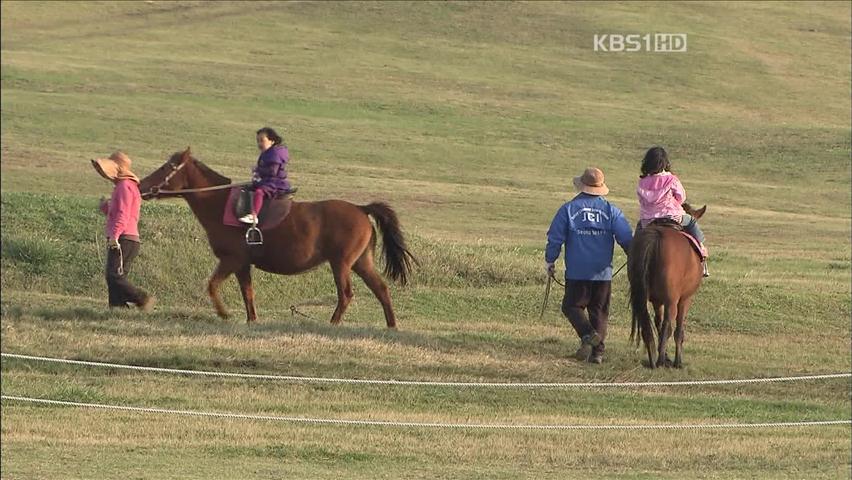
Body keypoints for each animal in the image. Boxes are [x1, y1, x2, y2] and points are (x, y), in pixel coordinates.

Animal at [139, 146, 416, 328]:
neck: (220, 203)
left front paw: (224, 314)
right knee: (381, 288)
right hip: (361, 261)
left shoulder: (231, 260)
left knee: (346, 294)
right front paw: (251, 320)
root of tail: (361, 208)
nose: (141, 186)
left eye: (166, 167)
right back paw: (391, 326)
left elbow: (212, 285)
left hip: (342, 263)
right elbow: (248, 293)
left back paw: (333, 323)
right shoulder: (242, 264)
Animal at [624, 202, 704, 368]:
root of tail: (655, 236)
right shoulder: (685, 300)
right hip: (672, 300)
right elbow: (678, 329)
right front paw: (677, 361)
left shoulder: (656, 301)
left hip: (643, 295)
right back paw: (660, 360)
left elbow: (658, 323)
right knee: (668, 324)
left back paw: (653, 356)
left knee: (649, 324)